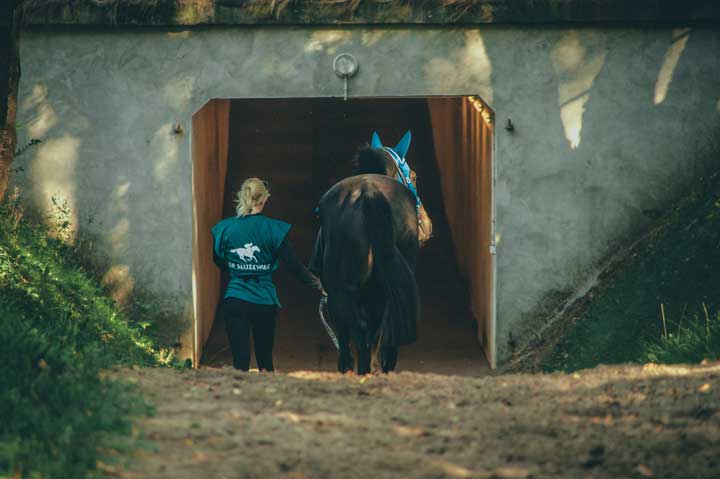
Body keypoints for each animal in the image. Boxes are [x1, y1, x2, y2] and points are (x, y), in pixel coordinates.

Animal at [310, 131, 434, 376]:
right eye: (414, 177)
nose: (427, 225)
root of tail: (369, 193)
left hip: (345, 293)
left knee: (362, 334)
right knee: (375, 333)